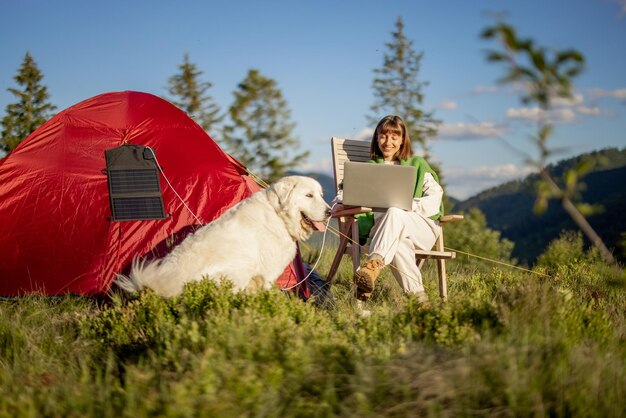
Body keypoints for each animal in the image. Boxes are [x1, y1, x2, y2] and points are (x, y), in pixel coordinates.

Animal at [117, 176, 332, 298]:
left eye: (321, 195)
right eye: (309, 195)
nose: (330, 212)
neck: (278, 214)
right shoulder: (268, 274)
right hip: (237, 271)